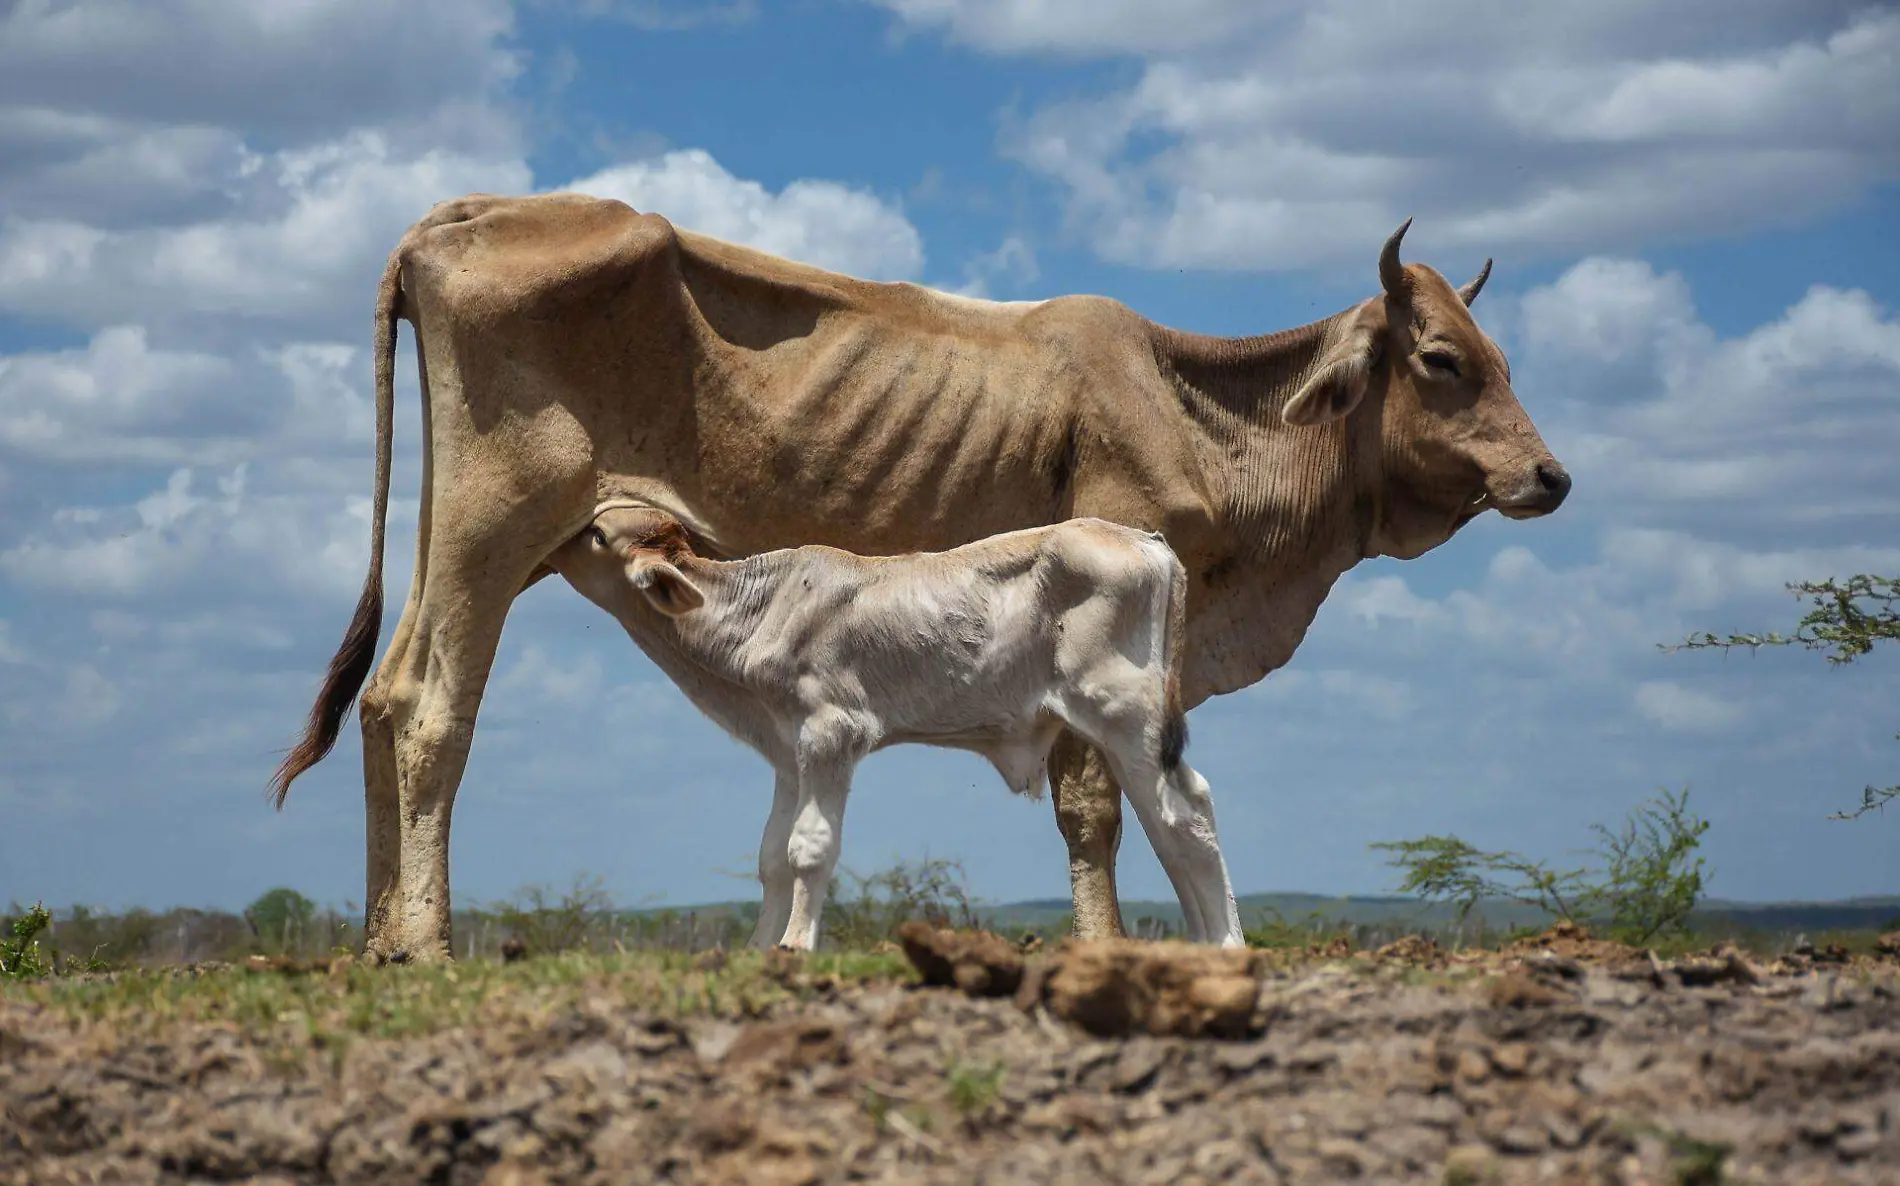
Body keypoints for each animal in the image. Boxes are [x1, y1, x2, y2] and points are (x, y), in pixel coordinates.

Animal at [547, 505, 1246, 950]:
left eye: (596, 534)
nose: (548, 544)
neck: (757, 612)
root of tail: (1145, 540)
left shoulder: (830, 734)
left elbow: (809, 848)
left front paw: (794, 947)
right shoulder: (788, 753)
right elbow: (772, 857)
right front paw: (758, 948)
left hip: (1123, 712)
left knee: (1185, 815)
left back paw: (1227, 944)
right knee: (1169, 821)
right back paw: (1204, 943)